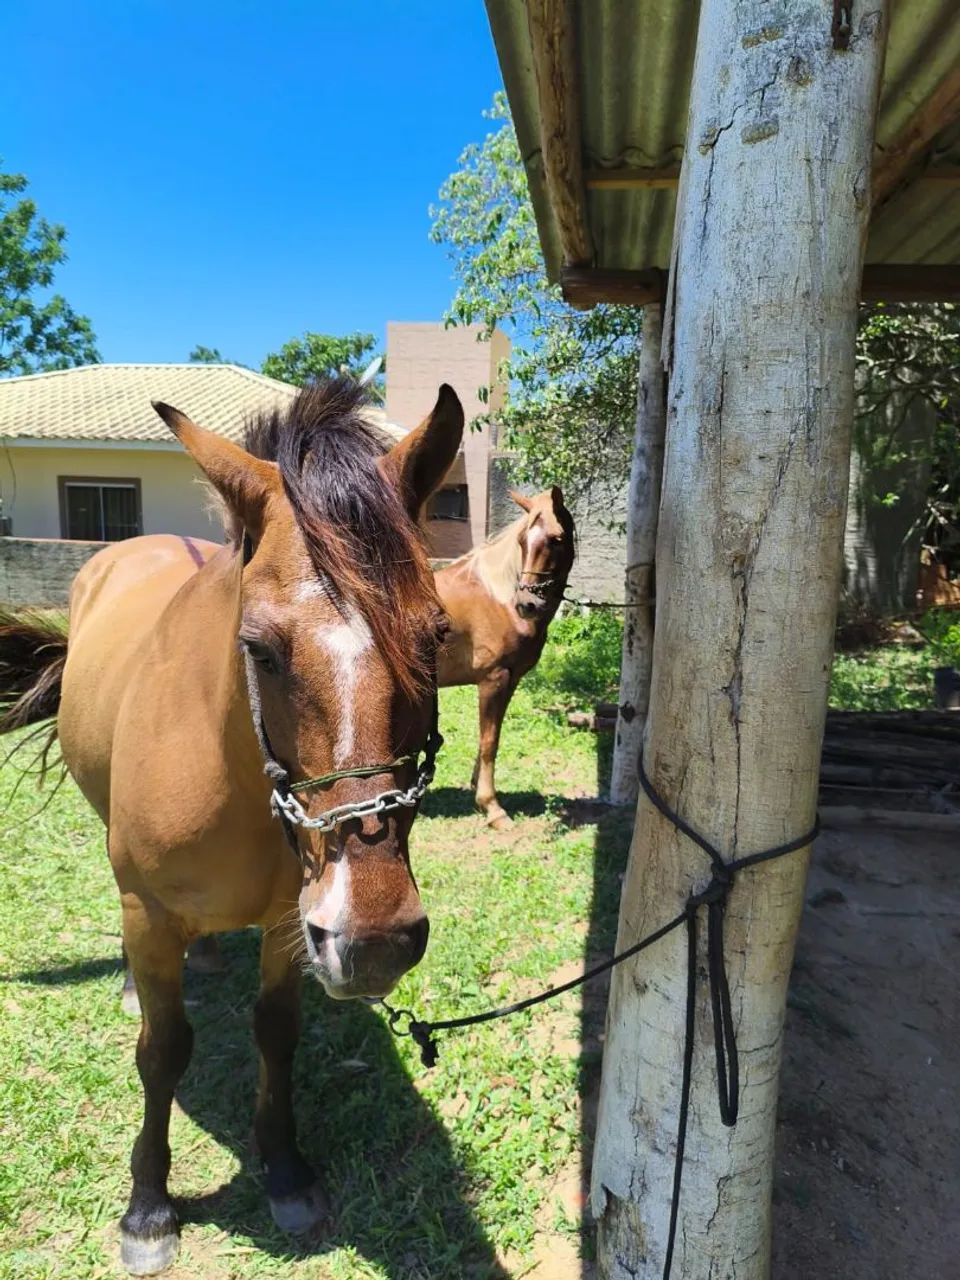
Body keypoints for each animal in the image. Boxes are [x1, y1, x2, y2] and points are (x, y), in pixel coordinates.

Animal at [0, 378, 463, 1275]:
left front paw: (284, 1170)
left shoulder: (293, 919)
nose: (376, 939)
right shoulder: (152, 912)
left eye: (434, 637)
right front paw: (148, 1208)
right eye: (260, 649)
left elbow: (277, 1033)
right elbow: (162, 1051)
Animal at [435, 486, 576, 828]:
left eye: (557, 538)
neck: (498, 599)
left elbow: (491, 736)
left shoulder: (510, 680)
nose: (527, 604)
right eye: (523, 541)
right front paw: (492, 807)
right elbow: (489, 742)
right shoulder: (493, 679)